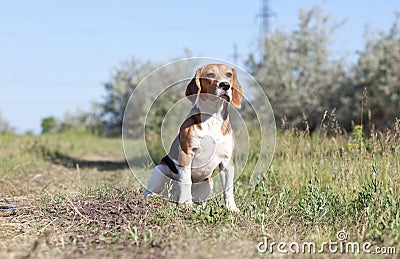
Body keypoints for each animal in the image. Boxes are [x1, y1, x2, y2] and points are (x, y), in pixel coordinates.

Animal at [145, 64, 244, 212]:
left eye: (229, 75)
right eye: (210, 75)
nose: (225, 85)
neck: (212, 118)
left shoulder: (227, 162)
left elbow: (228, 189)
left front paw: (231, 208)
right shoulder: (186, 154)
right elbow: (186, 181)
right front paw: (186, 204)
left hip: (208, 182)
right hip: (160, 169)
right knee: (149, 191)